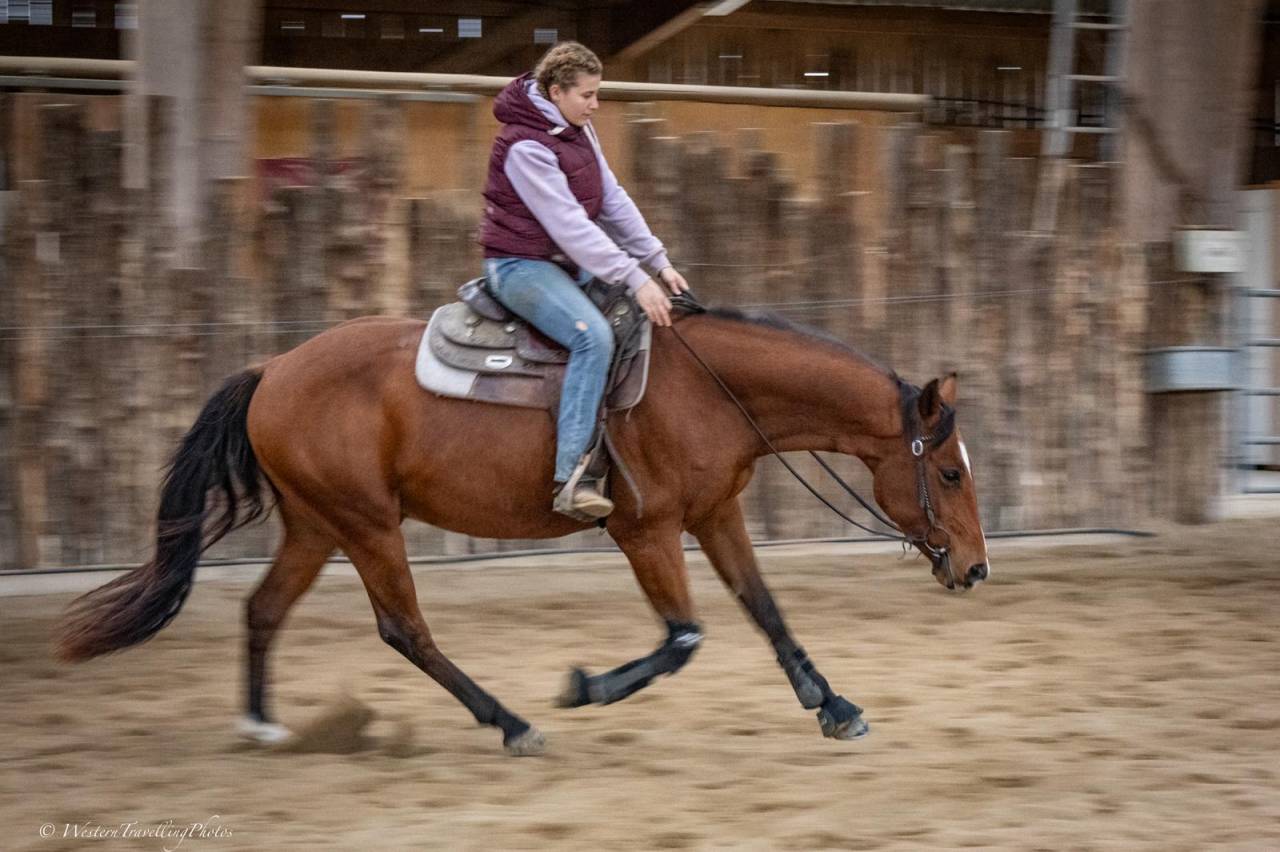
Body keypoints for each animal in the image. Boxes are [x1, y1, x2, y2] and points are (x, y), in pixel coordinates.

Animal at [57, 305, 989, 756]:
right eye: (949, 472)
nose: (977, 570)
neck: (707, 389)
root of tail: (272, 368)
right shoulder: (646, 533)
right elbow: (685, 636)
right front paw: (583, 687)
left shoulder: (715, 514)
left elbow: (766, 611)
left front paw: (835, 707)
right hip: (367, 523)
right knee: (405, 628)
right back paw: (511, 723)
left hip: (317, 525)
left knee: (263, 612)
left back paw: (261, 727)